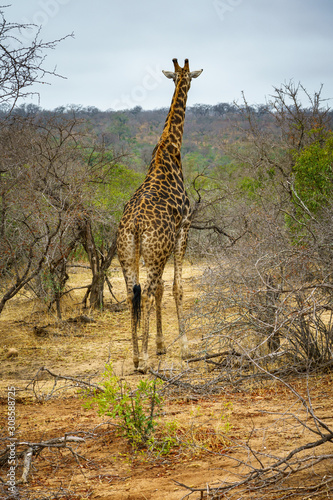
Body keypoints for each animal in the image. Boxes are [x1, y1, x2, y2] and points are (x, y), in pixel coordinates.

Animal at [116, 57, 202, 372]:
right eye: (187, 77)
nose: (185, 80)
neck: (170, 148)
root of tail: (137, 224)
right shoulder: (184, 228)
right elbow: (176, 288)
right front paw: (185, 348)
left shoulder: (165, 244)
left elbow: (165, 288)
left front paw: (161, 345)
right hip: (153, 251)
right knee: (149, 291)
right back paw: (143, 361)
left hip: (129, 252)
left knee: (133, 292)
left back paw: (135, 356)